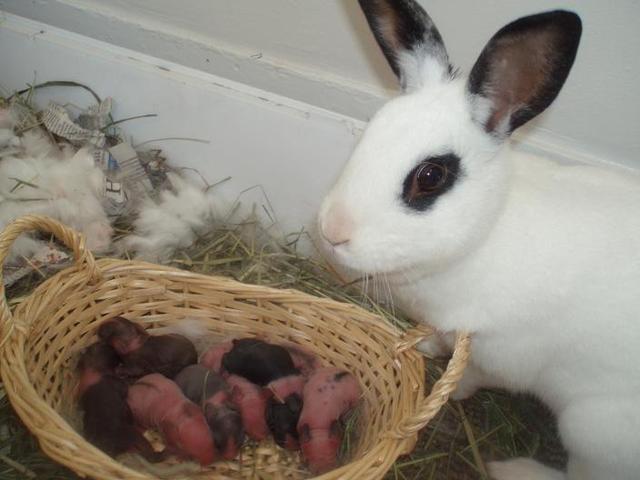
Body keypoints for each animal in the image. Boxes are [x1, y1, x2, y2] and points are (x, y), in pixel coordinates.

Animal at [318, 2, 640, 480]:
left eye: (430, 177)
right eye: (371, 130)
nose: (332, 231)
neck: (488, 231)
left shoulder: (497, 357)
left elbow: (470, 378)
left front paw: (446, 390)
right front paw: (428, 348)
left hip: (592, 428)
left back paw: (513, 468)